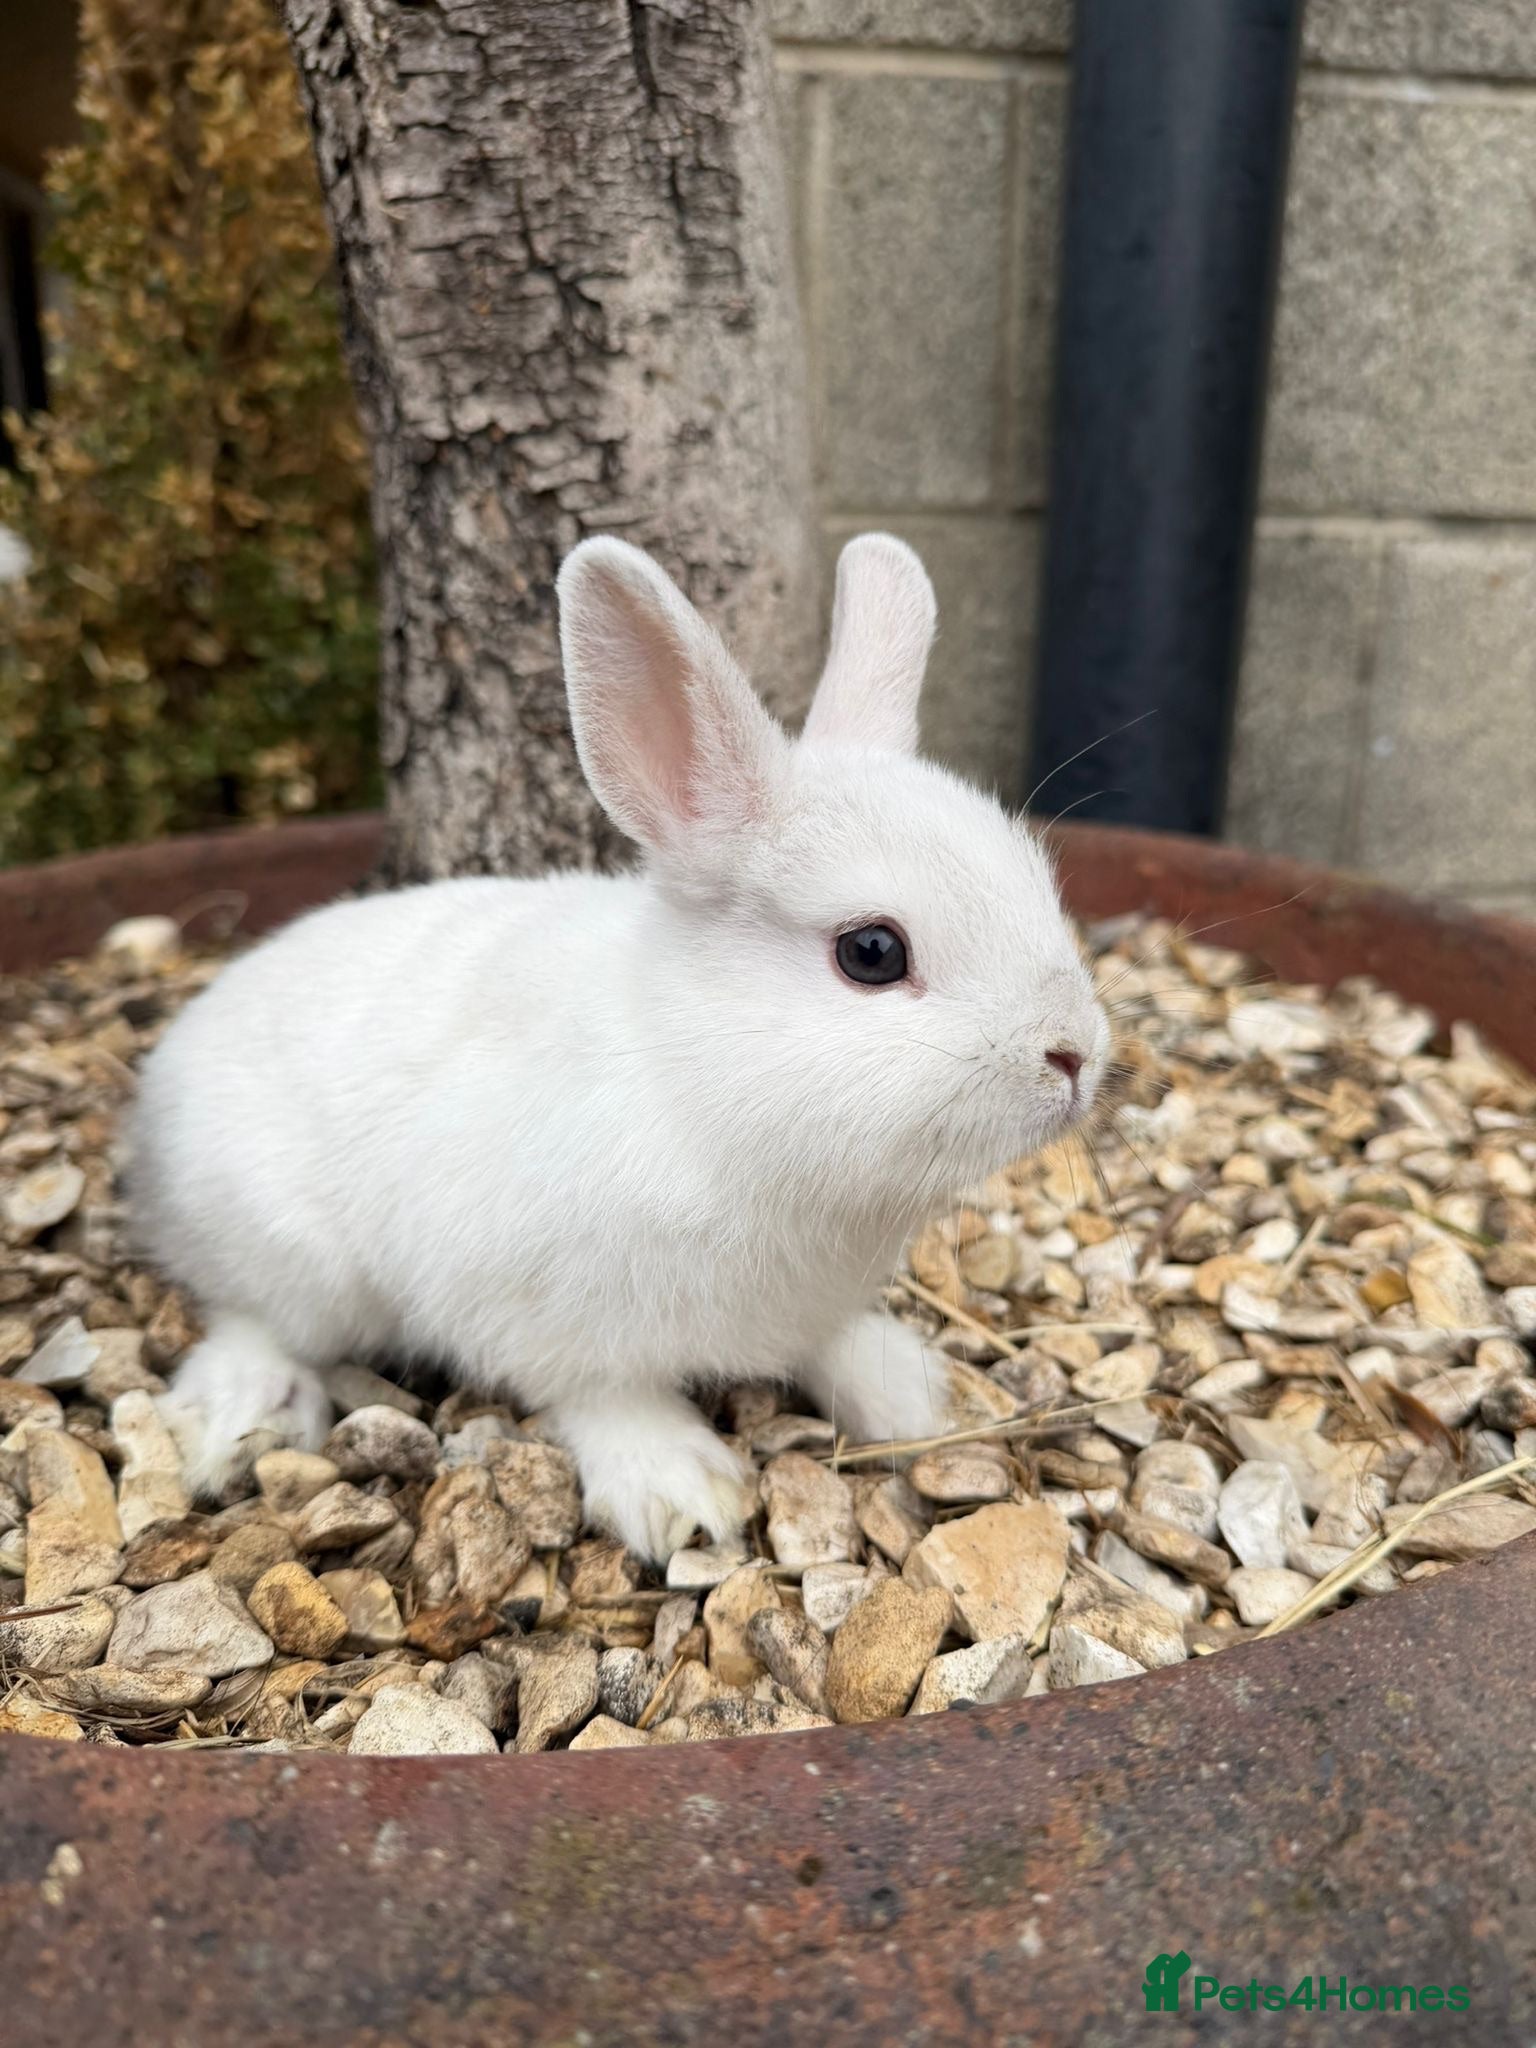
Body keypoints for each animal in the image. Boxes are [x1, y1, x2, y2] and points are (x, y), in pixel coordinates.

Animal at [131, 533, 1110, 1561]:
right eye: (872, 953)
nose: (1075, 1054)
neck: (700, 1086)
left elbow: (834, 1345)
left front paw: (913, 1396)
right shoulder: (531, 1310)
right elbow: (602, 1394)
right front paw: (681, 1493)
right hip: (294, 1256)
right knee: (251, 1318)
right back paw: (241, 1417)